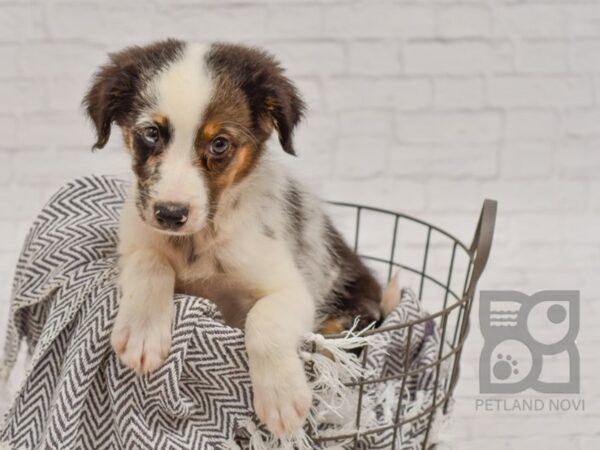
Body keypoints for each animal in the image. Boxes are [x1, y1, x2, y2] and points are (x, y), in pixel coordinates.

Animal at [81, 40, 398, 438]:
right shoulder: (131, 244)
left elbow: (263, 321)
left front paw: (281, 397)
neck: (197, 241)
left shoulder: (291, 289)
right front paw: (142, 333)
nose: (170, 214)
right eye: (151, 133)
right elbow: (150, 260)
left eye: (219, 144)